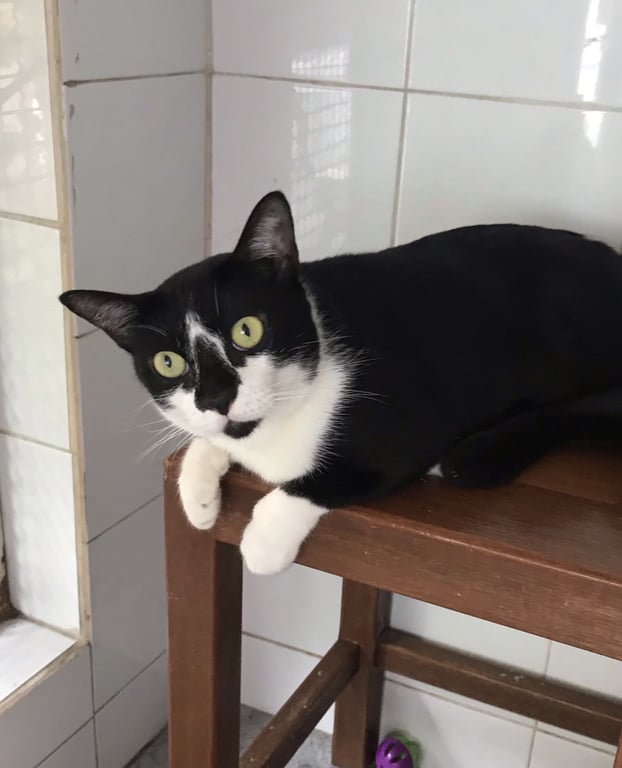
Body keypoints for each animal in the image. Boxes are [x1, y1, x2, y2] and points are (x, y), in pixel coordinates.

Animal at [60, 191, 622, 574]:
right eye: (169, 363)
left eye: (247, 330)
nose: (217, 396)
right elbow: (207, 442)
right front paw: (199, 496)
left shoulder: (403, 424)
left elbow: (330, 476)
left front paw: (263, 541)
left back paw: (479, 454)